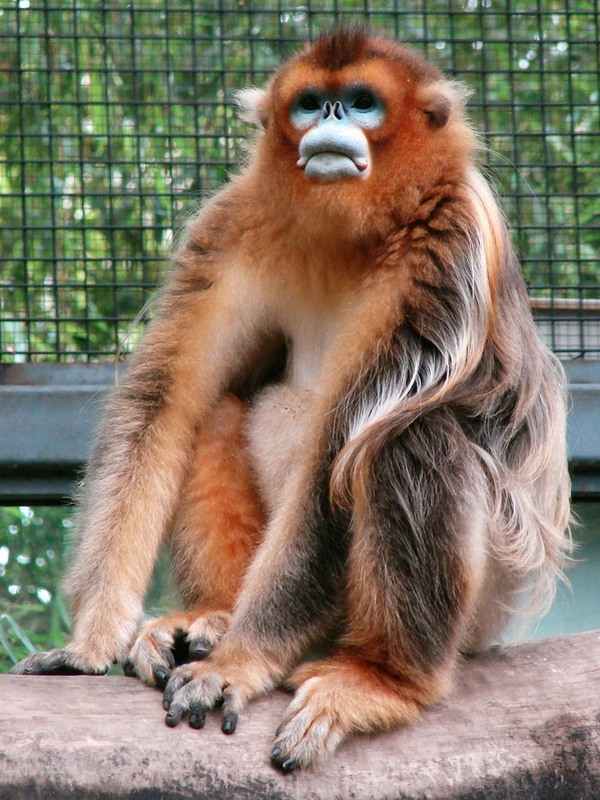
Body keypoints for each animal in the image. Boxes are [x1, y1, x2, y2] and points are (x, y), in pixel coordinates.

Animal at [11, 28, 571, 772]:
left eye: (361, 102)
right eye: (310, 103)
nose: (329, 120)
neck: (355, 230)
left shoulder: (448, 238)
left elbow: (338, 461)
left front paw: (237, 664)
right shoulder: (232, 221)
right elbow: (165, 400)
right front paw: (90, 644)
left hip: (486, 605)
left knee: (407, 437)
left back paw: (385, 680)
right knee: (217, 407)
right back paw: (214, 614)